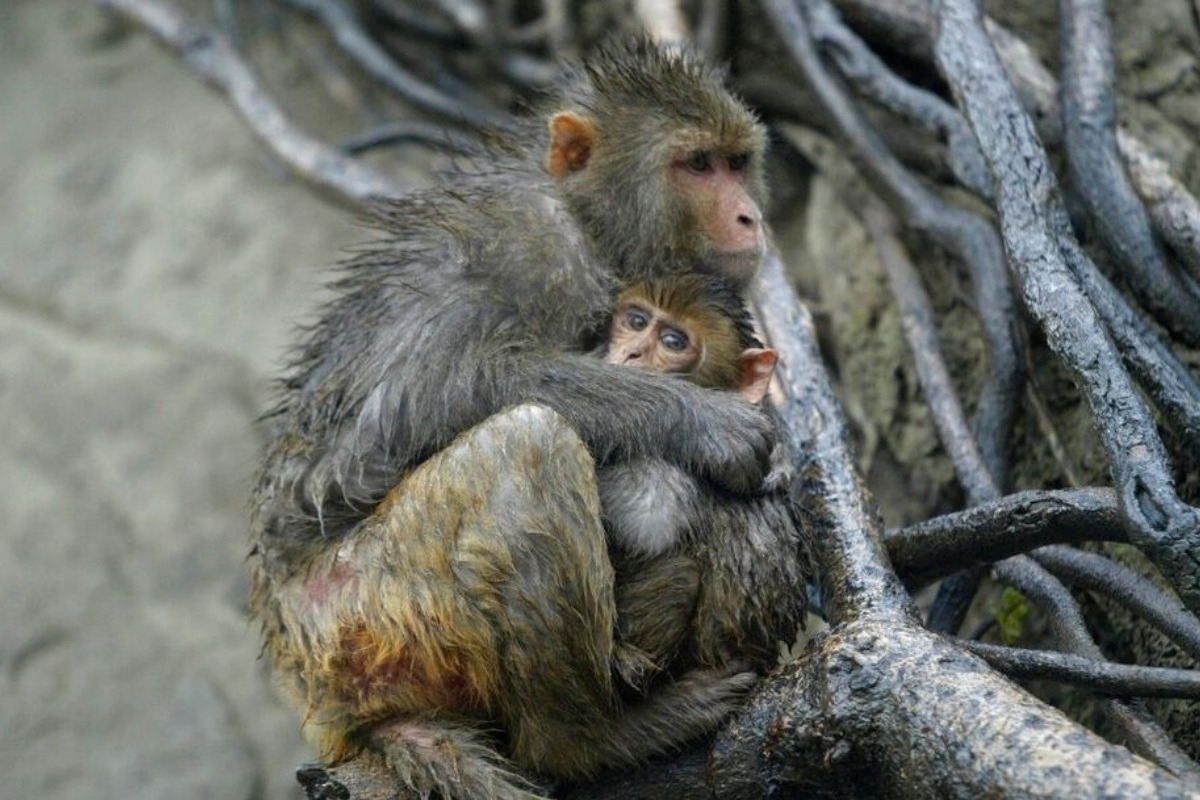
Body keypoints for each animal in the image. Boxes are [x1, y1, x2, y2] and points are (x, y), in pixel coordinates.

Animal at [249, 38, 806, 800]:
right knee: (526, 444)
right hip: (365, 613)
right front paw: (705, 424)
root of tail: (316, 691)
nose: (749, 216)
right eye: (697, 165)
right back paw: (591, 741)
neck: (592, 226)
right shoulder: (534, 252)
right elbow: (415, 399)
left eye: (737, 161)